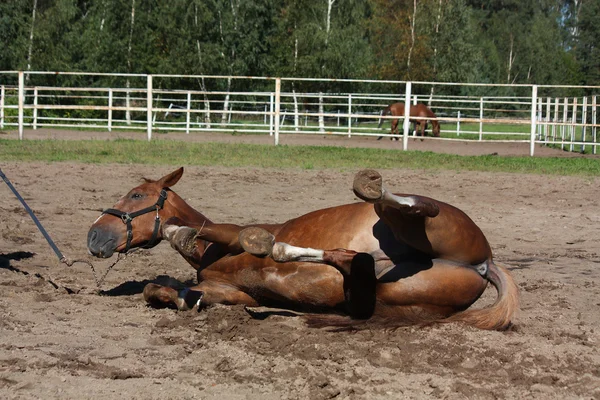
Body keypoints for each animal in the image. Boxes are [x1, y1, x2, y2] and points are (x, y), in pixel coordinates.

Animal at [86, 167, 516, 330]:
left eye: (136, 194)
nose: (93, 235)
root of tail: (486, 263)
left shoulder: (229, 235)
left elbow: (223, 232)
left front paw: (181, 233)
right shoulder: (234, 292)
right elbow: (158, 290)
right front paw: (181, 298)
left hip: (425, 224)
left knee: (414, 207)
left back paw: (370, 187)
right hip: (384, 290)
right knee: (355, 263)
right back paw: (285, 255)